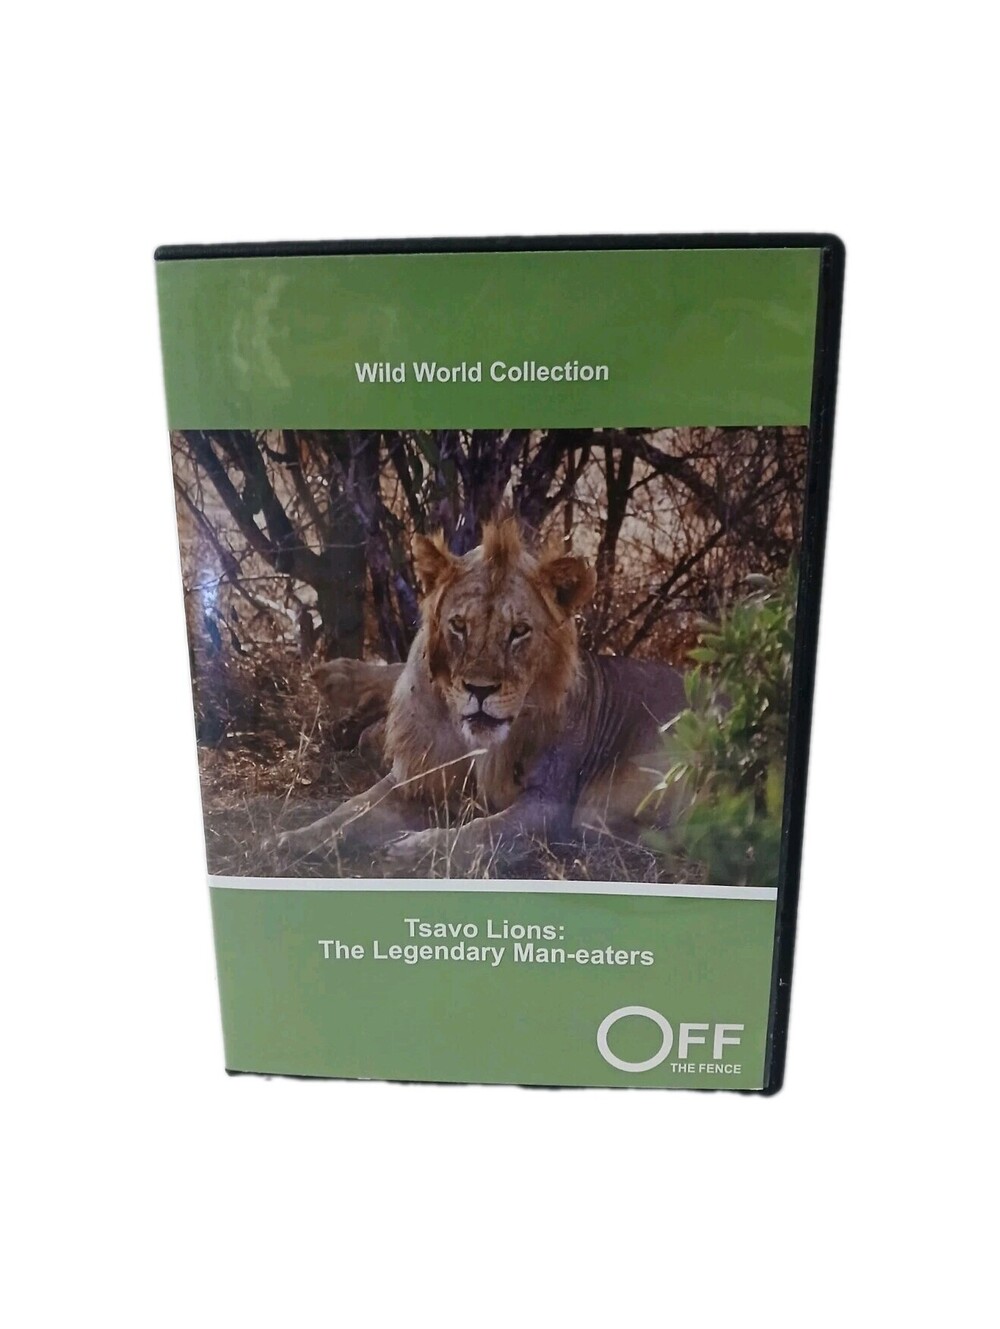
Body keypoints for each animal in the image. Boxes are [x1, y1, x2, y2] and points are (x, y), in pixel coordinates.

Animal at [278, 519, 689, 874]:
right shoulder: (418, 776)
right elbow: (353, 809)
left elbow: (483, 830)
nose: (479, 689)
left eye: (519, 631)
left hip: (605, 807)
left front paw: (416, 849)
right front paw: (296, 838)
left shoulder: (551, 803)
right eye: (459, 625)